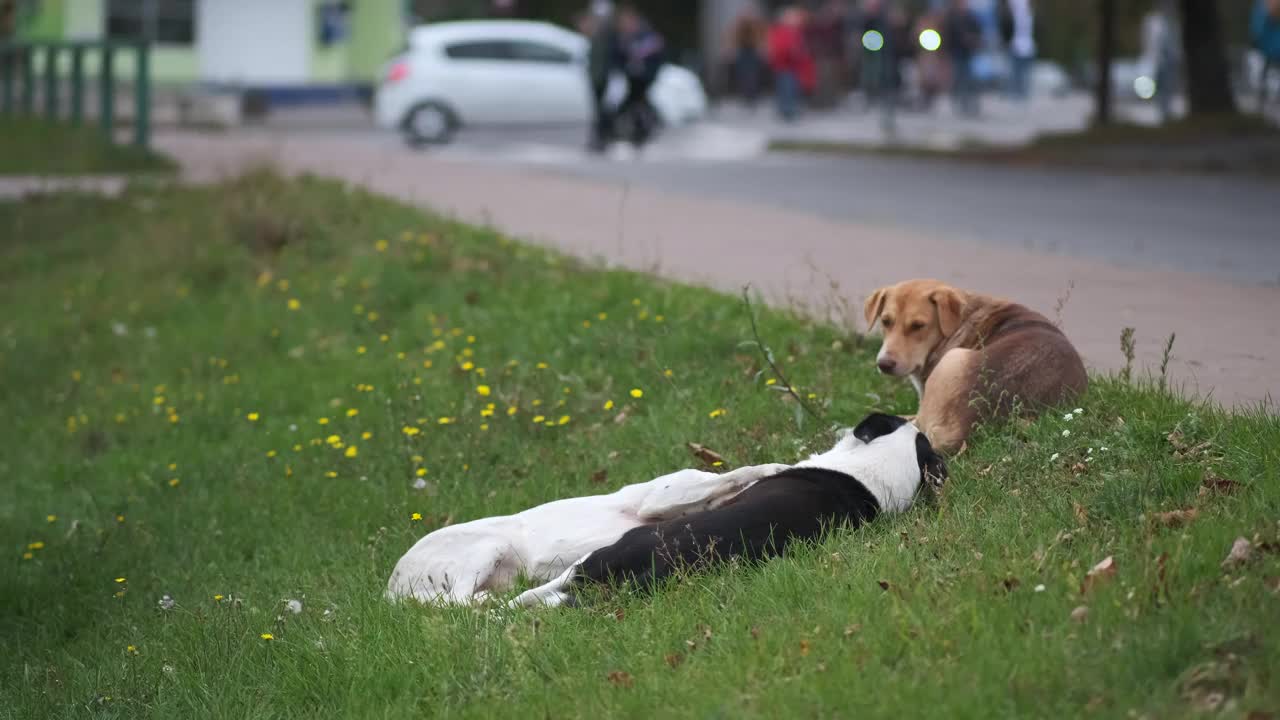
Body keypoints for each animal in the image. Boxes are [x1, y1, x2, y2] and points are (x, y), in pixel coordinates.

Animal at [384, 456, 793, 602]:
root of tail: (391, 584)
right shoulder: (658, 498)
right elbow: (742, 471)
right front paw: (777, 467)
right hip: (487, 547)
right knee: (458, 601)